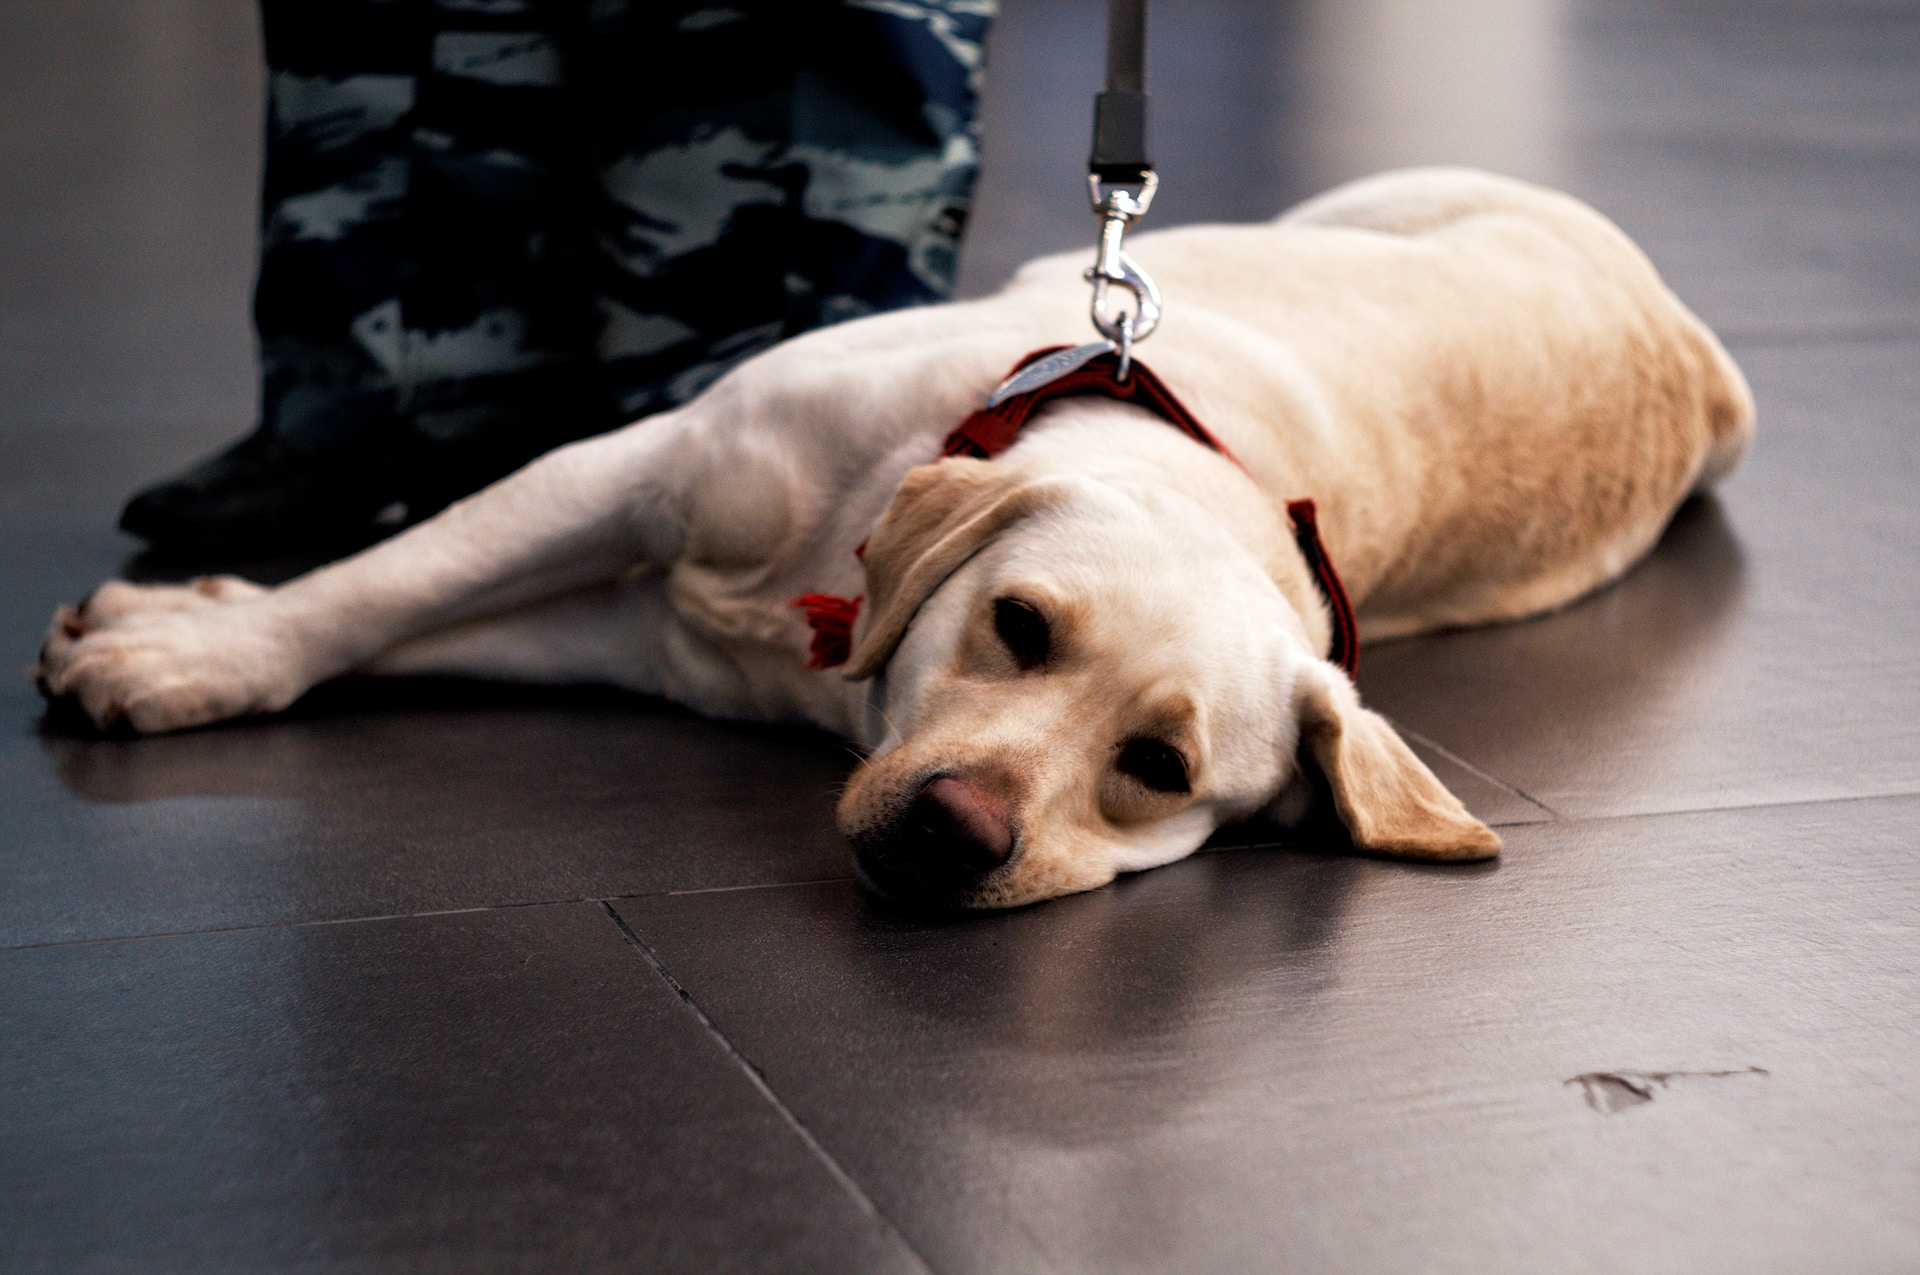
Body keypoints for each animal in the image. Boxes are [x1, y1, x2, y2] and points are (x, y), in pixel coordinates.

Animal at [33, 167, 1758, 906]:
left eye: (1159, 768)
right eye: (1020, 624)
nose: (958, 832)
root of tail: (1697, 339)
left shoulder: (634, 631)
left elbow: (422, 623)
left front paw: (180, 640)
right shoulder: (633, 475)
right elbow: (385, 584)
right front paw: (194, 650)